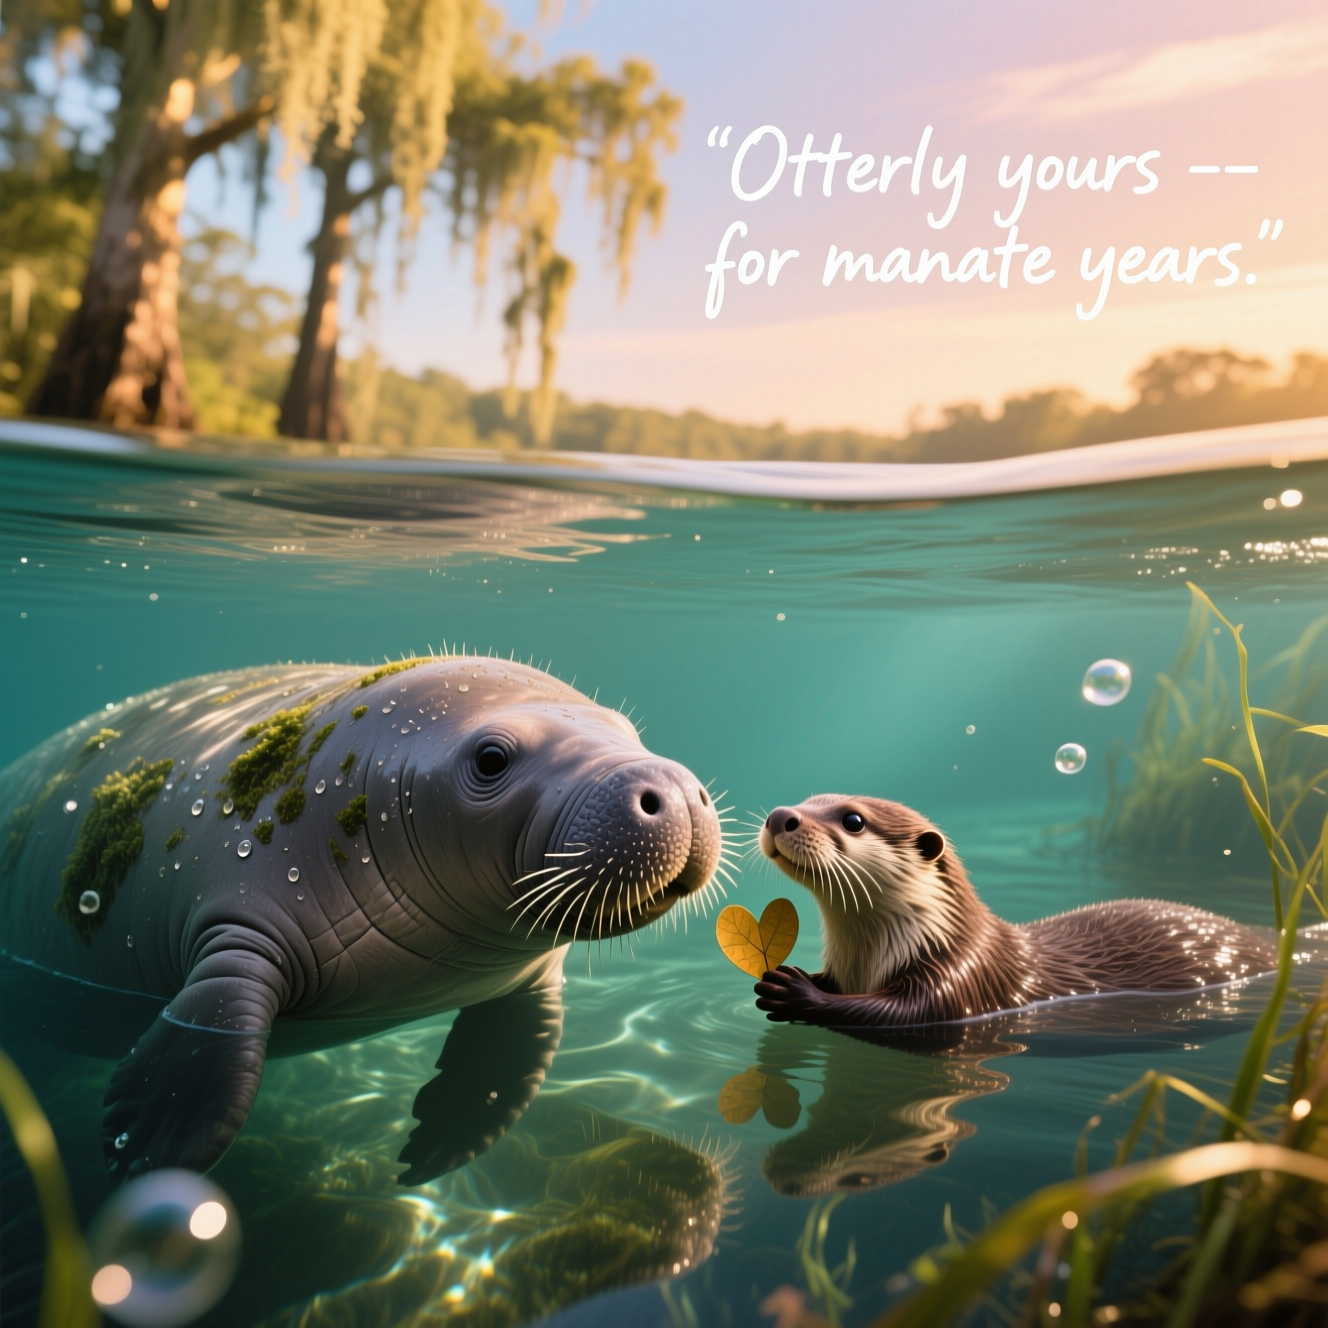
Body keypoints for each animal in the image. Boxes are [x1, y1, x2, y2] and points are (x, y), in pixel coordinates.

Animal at [753, 795, 1277, 1029]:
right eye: (807, 798)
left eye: (853, 820)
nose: (780, 815)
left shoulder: (960, 975)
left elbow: (898, 1013)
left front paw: (795, 991)